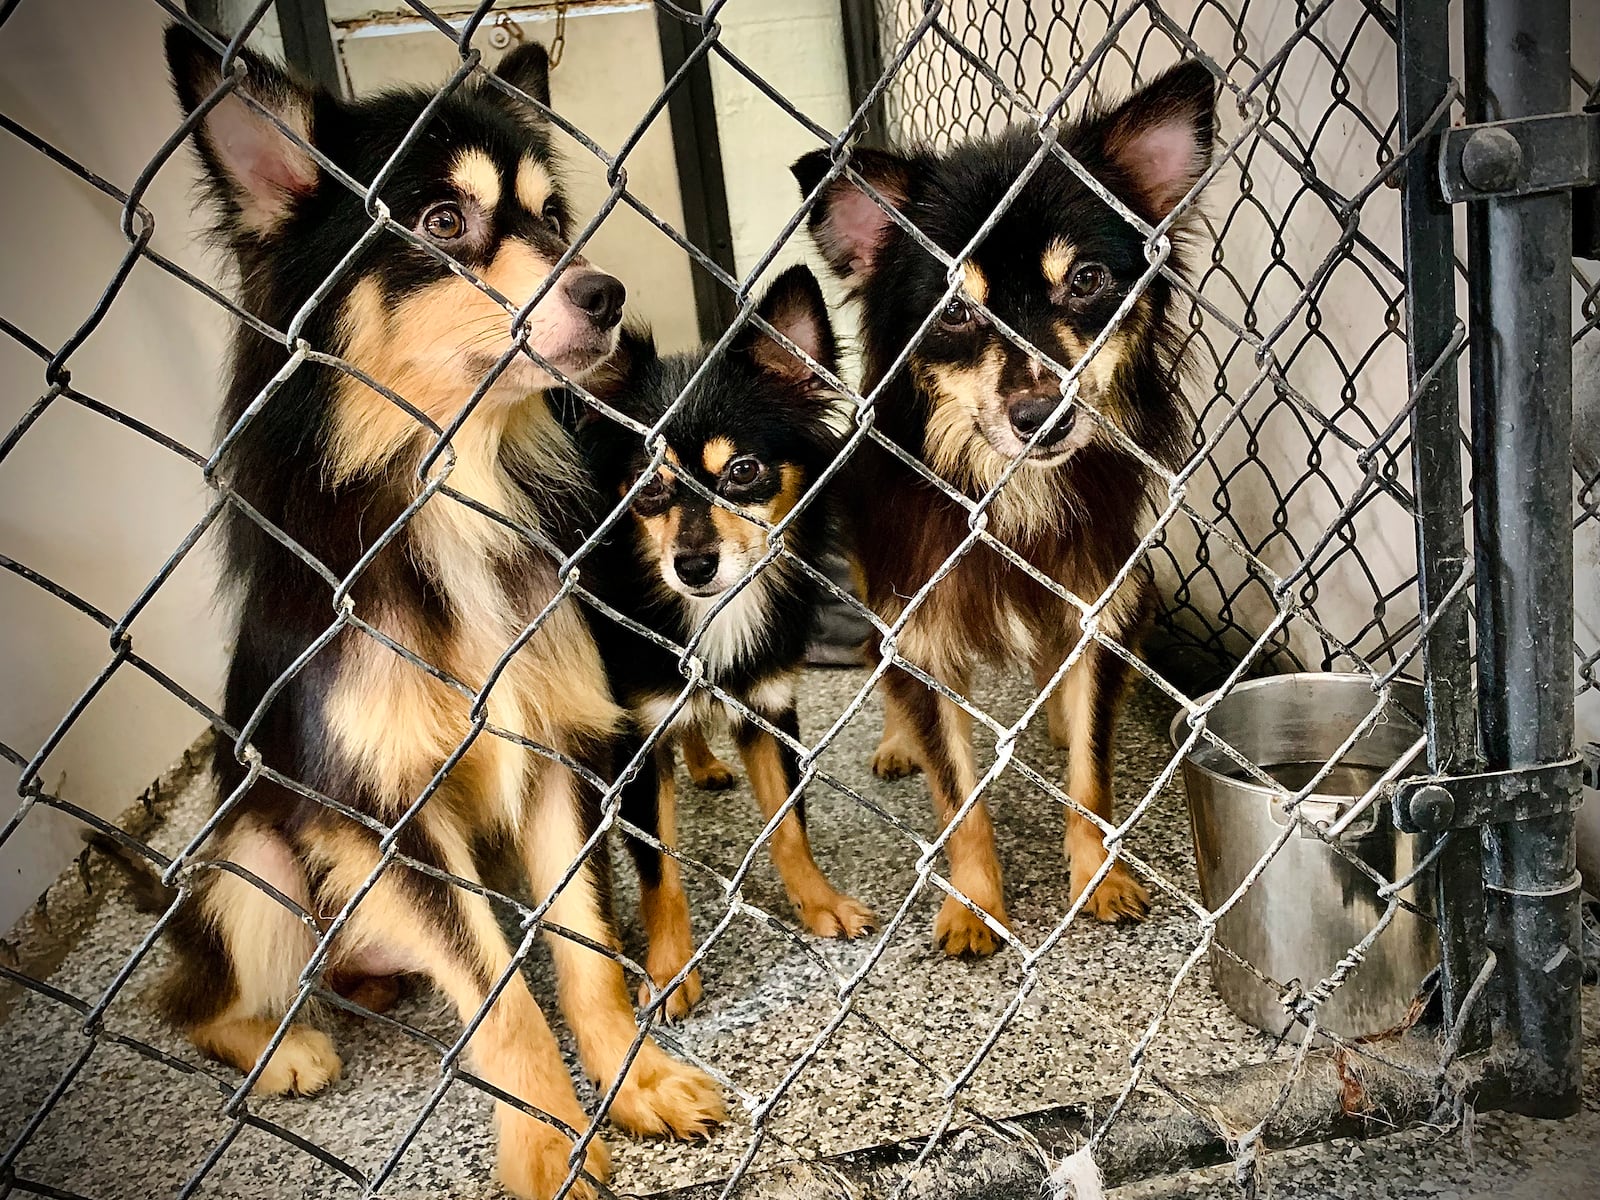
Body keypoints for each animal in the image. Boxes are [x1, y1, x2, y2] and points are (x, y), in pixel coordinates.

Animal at [157, 28, 720, 1200]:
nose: (604, 292)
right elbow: (502, 1003)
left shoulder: (552, 756)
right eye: (442, 223)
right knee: (198, 1001)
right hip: (257, 862)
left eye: (551, 217)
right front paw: (549, 1147)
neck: (454, 482)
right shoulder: (388, 816)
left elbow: (585, 955)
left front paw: (636, 1081)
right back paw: (283, 1051)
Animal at [579, 267, 876, 1017]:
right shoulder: (638, 736)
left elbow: (789, 827)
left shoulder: (769, 710)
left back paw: (707, 763)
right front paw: (670, 967)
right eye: (647, 488)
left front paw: (819, 903)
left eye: (743, 471)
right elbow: (658, 870)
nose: (693, 566)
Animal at [793, 63, 1216, 960]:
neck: (1009, 492)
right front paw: (974, 907)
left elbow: (1091, 772)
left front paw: (1100, 878)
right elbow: (959, 798)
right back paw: (897, 745)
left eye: (1087, 281)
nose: (1042, 417)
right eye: (954, 309)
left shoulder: (1100, 603)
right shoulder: (918, 628)